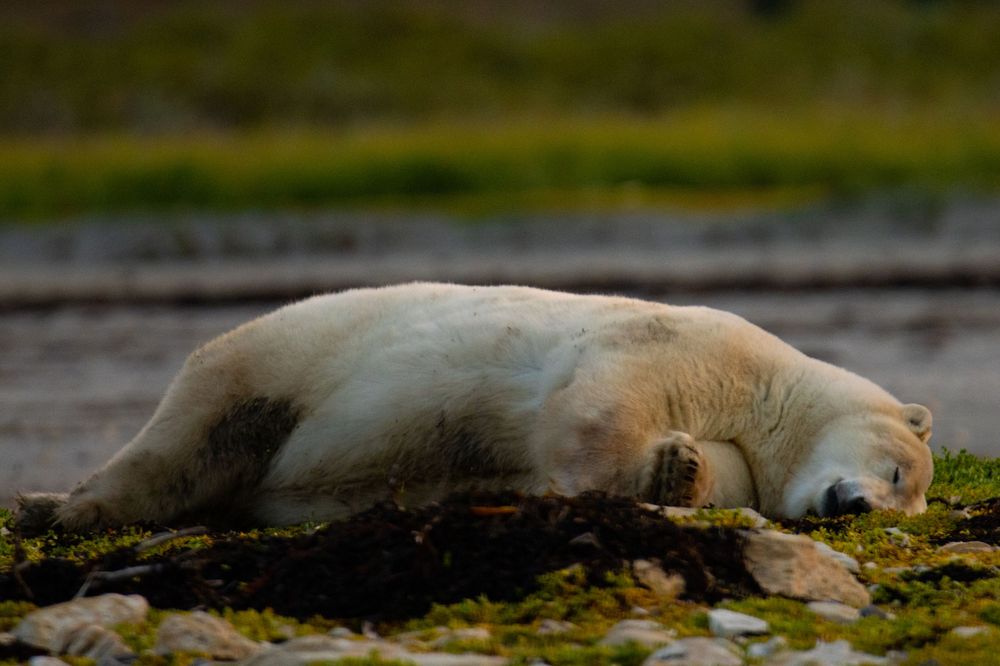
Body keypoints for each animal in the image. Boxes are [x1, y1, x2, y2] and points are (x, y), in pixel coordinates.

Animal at [16, 283, 934, 532]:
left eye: (907, 498)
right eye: (898, 472)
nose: (853, 504)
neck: (769, 392)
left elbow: (716, 474)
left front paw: (678, 467)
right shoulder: (688, 346)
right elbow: (598, 404)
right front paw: (585, 481)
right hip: (280, 361)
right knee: (189, 437)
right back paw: (60, 509)